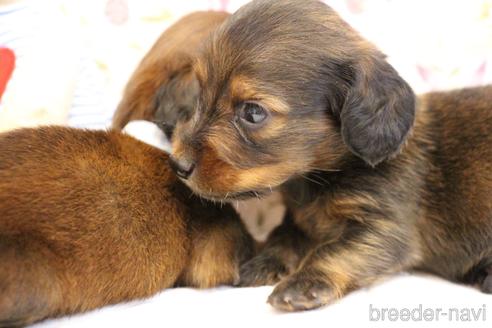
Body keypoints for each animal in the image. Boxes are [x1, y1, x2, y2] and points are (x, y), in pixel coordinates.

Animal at [168, 0, 492, 312]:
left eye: (253, 112)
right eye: (200, 93)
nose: (177, 165)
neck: (321, 177)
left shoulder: (385, 227)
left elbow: (335, 250)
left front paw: (304, 282)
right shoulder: (297, 219)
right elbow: (283, 236)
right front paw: (264, 263)